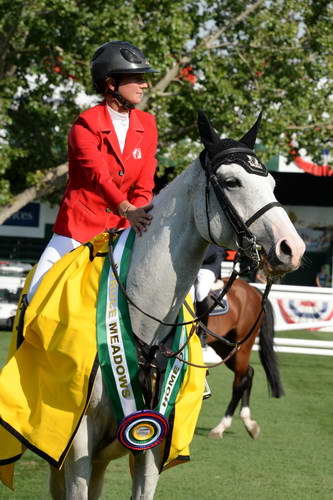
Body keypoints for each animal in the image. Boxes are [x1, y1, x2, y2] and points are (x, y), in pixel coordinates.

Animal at [206, 280, 282, 440]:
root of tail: (253, 289)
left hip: (242, 346)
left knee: (240, 382)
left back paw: (221, 427)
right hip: (224, 345)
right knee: (249, 372)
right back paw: (249, 423)